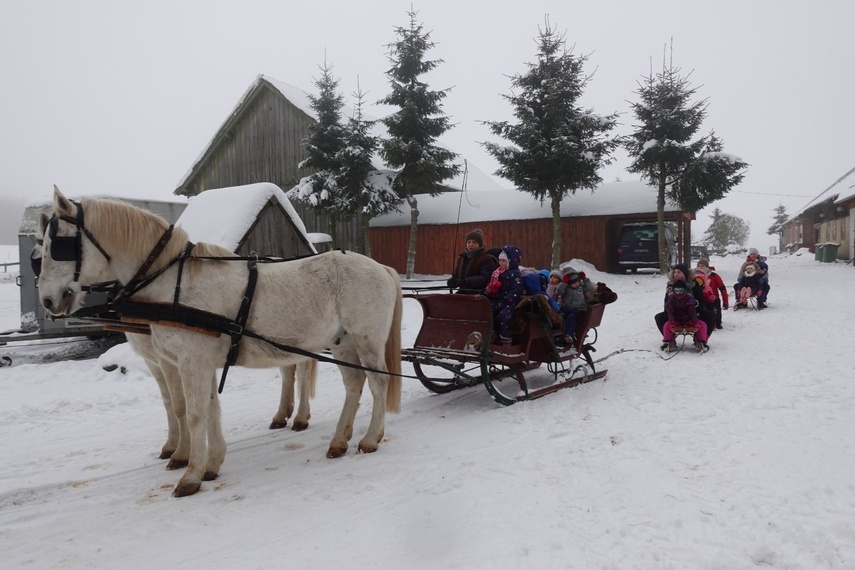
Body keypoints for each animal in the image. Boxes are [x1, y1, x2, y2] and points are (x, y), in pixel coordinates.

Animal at [38, 189, 402, 494]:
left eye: (58, 244)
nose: (47, 300)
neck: (173, 283)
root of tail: (379, 266)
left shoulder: (190, 363)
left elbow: (194, 413)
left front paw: (190, 473)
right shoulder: (196, 363)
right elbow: (209, 409)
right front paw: (211, 464)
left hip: (366, 339)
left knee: (378, 382)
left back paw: (370, 438)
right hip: (341, 342)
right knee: (354, 384)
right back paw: (339, 441)